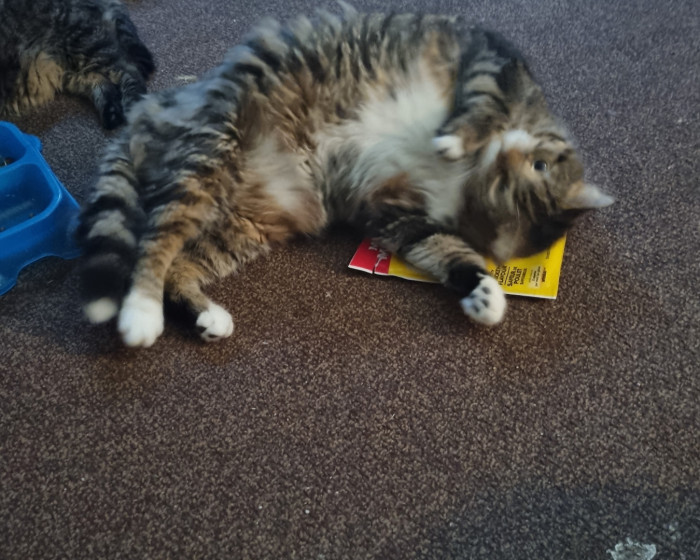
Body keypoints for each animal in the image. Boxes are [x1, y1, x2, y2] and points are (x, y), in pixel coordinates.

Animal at [0, 0, 154, 129]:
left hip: (84, 45)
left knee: (129, 70)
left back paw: (132, 106)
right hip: (67, 68)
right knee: (100, 82)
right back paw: (111, 113)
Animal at [77, 7, 613, 347]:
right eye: (535, 169)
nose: (496, 167)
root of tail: (156, 107)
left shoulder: (394, 211)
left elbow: (443, 250)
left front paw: (483, 292)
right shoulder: (490, 59)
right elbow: (481, 103)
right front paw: (454, 139)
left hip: (245, 222)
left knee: (181, 264)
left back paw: (206, 316)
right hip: (210, 156)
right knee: (156, 242)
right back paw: (140, 314)